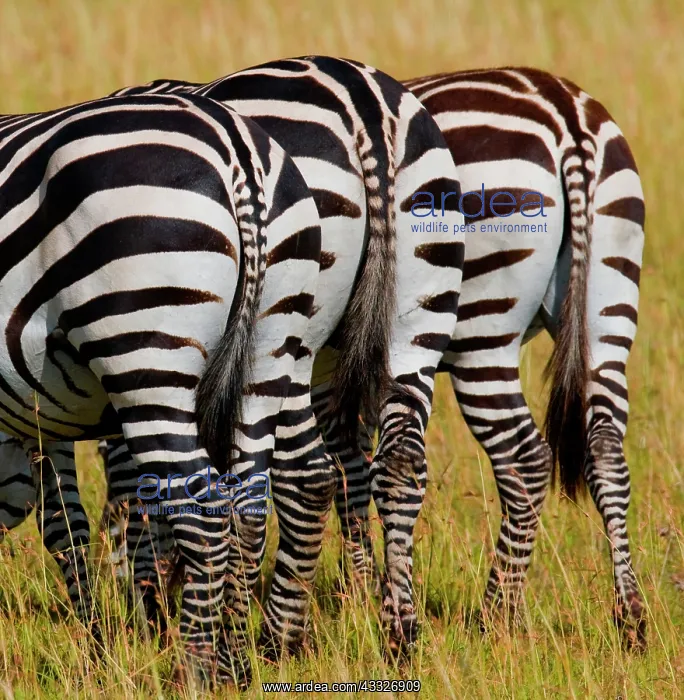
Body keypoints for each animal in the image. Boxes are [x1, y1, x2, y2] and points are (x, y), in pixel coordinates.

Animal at [0, 90, 330, 684]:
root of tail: (236, 149)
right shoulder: (40, 410)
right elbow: (66, 524)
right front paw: (97, 646)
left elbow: (61, 525)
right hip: (273, 347)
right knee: (253, 500)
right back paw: (237, 664)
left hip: (144, 349)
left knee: (202, 515)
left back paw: (196, 672)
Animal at [112, 55, 467, 654]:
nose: (149, 608)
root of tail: (363, 104)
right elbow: (352, 465)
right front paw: (357, 592)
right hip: (420, 307)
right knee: (398, 459)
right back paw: (399, 628)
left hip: (290, 333)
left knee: (307, 475)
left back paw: (276, 637)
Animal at [321, 67, 646, 648]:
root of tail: (563, 113)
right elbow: (351, 457)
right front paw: (364, 588)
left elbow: (338, 461)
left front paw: (356, 594)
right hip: (609, 303)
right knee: (606, 448)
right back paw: (628, 619)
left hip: (481, 329)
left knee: (525, 460)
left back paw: (496, 616)